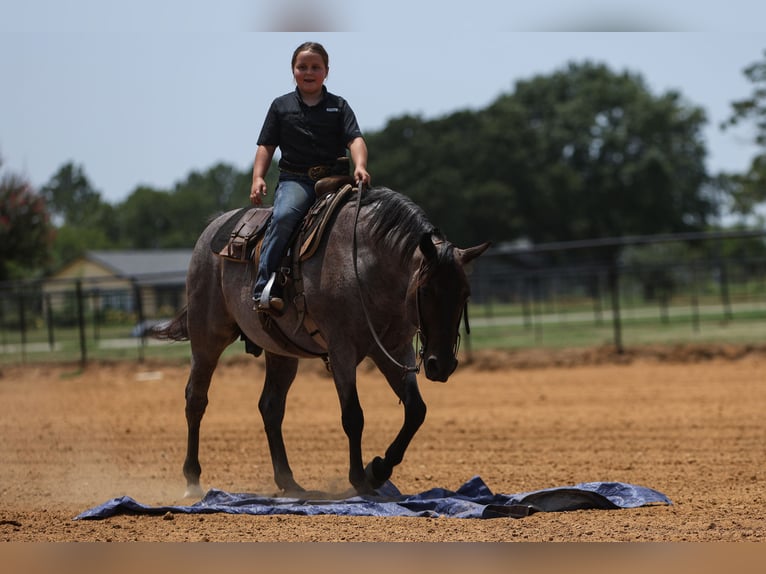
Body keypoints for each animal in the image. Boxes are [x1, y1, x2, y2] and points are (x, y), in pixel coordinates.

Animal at [157, 182, 492, 498]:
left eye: (465, 293)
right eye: (426, 290)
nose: (441, 365)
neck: (364, 264)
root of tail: (212, 230)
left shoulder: (394, 350)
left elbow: (415, 410)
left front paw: (378, 469)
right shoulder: (342, 350)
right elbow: (353, 416)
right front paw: (360, 478)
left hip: (281, 352)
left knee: (270, 407)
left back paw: (289, 482)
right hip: (207, 337)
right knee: (196, 399)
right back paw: (193, 479)